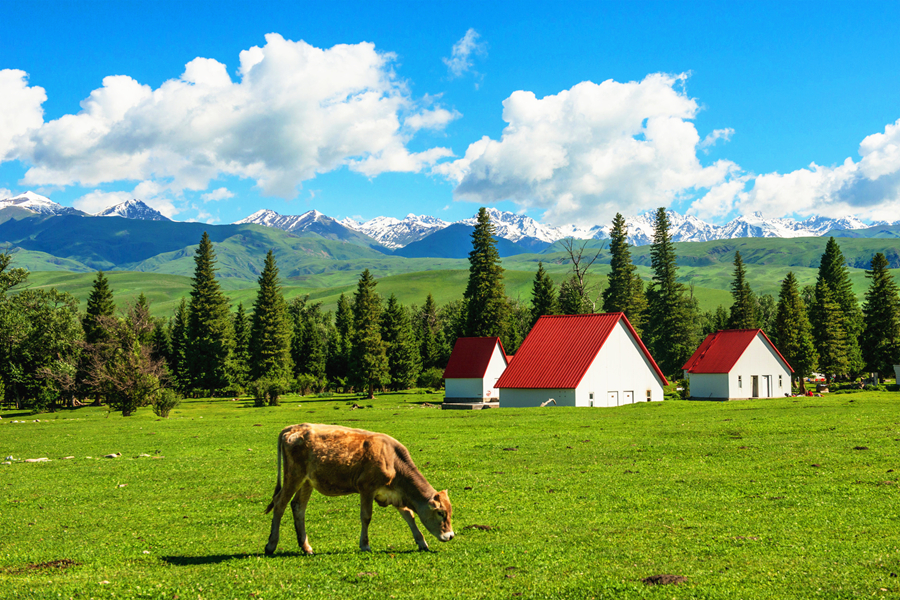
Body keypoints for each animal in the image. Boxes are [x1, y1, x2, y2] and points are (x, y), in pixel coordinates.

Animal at [264, 424, 454, 556]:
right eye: (441, 513)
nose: (450, 535)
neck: (393, 460)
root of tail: (294, 427)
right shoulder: (367, 488)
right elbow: (366, 517)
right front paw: (365, 545)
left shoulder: (395, 493)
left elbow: (409, 515)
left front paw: (421, 542)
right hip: (294, 476)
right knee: (280, 503)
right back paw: (271, 544)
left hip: (307, 481)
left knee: (298, 507)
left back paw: (306, 547)